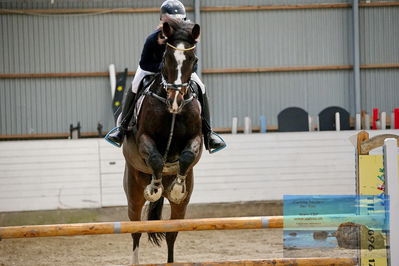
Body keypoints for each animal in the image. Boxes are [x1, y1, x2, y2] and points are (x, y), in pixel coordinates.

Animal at [122, 18, 203, 264]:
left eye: (193, 59)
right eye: (166, 57)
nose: (175, 100)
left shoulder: (195, 139)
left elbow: (187, 155)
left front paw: (177, 187)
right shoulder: (144, 139)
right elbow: (157, 159)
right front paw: (155, 189)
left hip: (182, 207)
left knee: (171, 232)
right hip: (133, 193)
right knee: (136, 229)